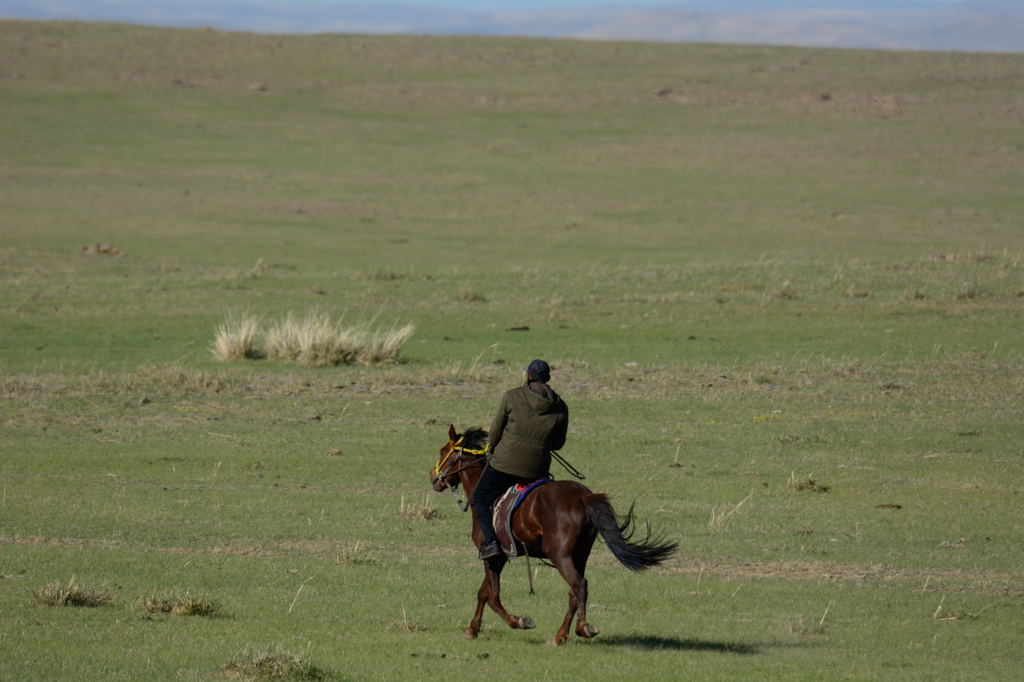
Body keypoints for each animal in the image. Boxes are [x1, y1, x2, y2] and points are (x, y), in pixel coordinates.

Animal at [428, 425, 675, 643]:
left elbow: (493, 597)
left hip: (560, 554)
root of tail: (582, 497)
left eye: (442, 451)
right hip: (579, 554)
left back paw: (582, 628)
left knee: (579, 585)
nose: (432, 477)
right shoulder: (499, 558)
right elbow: (484, 593)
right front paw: (472, 629)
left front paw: (519, 621)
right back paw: (561, 635)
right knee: (574, 592)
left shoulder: (490, 554)